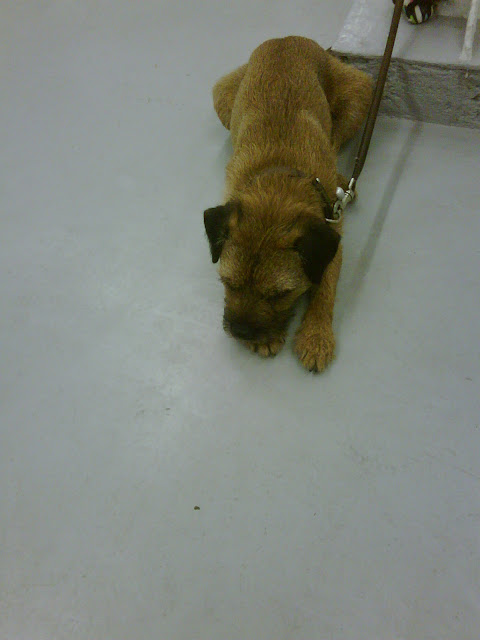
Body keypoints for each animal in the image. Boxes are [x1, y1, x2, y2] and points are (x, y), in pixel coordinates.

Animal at [204, 36, 372, 371]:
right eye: (228, 282)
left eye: (281, 294)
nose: (241, 332)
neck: (279, 179)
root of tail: (290, 38)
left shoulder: (333, 237)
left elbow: (326, 288)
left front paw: (316, 336)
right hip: (222, 94)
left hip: (360, 93)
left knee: (335, 136)